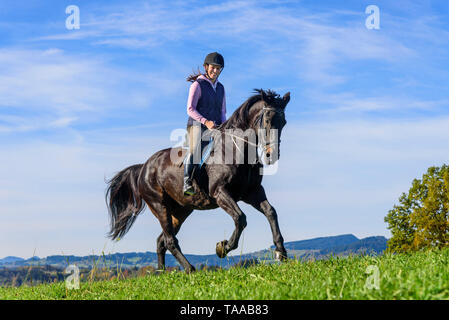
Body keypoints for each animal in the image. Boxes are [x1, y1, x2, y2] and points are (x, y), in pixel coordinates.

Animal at [105, 88, 290, 272]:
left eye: (284, 122)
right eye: (267, 120)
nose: (271, 155)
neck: (236, 150)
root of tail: (144, 166)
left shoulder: (252, 192)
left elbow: (271, 212)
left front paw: (281, 252)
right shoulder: (220, 193)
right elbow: (240, 218)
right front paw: (223, 247)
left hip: (181, 211)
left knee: (161, 241)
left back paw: (162, 273)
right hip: (159, 205)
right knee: (170, 240)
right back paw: (190, 269)